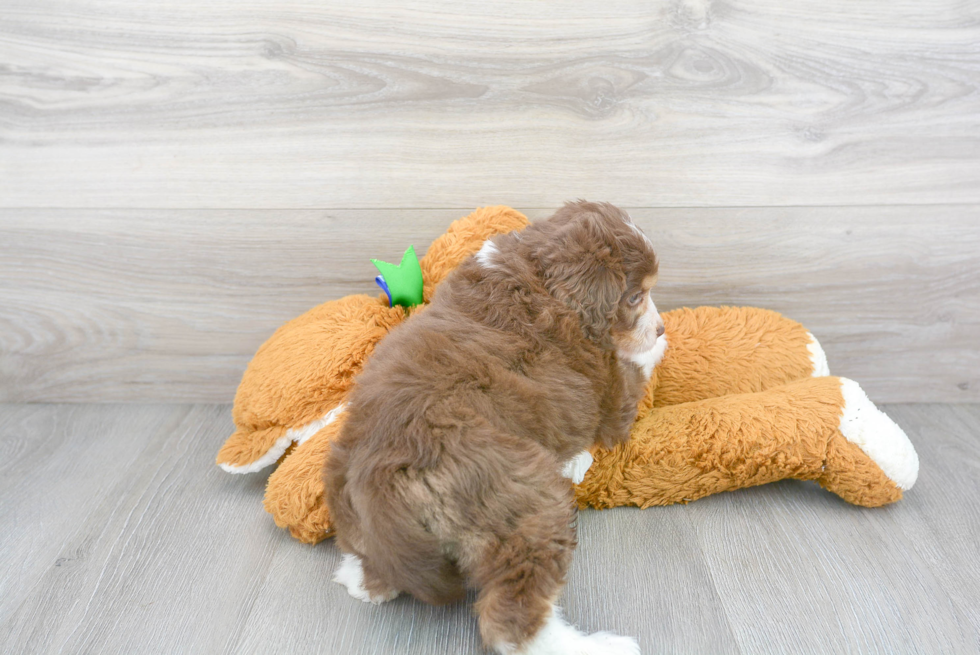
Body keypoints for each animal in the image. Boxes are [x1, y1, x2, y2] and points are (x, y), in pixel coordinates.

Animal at [326, 201, 664, 655]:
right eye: (635, 296)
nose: (661, 326)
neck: (540, 278)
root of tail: (378, 475)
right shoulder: (612, 395)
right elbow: (636, 365)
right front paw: (659, 342)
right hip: (523, 501)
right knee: (513, 622)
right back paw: (601, 646)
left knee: (373, 570)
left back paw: (357, 578)